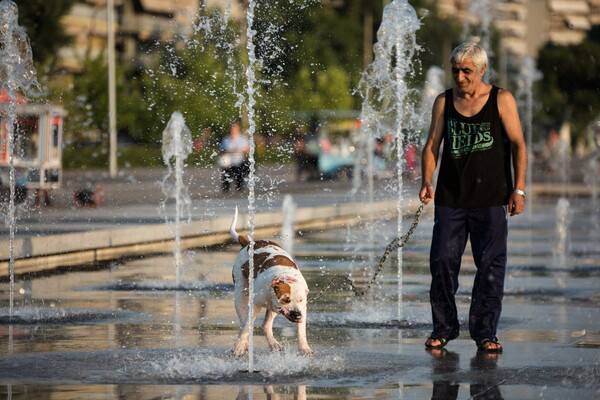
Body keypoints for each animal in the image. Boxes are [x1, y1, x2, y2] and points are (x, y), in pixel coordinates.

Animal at [230, 206, 314, 356]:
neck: (285, 276)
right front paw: (239, 346)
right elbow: (246, 326)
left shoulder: (303, 308)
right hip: (240, 295)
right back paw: (245, 343)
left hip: (272, 308)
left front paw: (304, 347)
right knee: (244, 320)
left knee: (266, 325)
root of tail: (248, 243)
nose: (296, 314)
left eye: (300, 300)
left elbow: (301, 331)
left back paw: (274, 343)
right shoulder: (255, 305)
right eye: (286, 299)